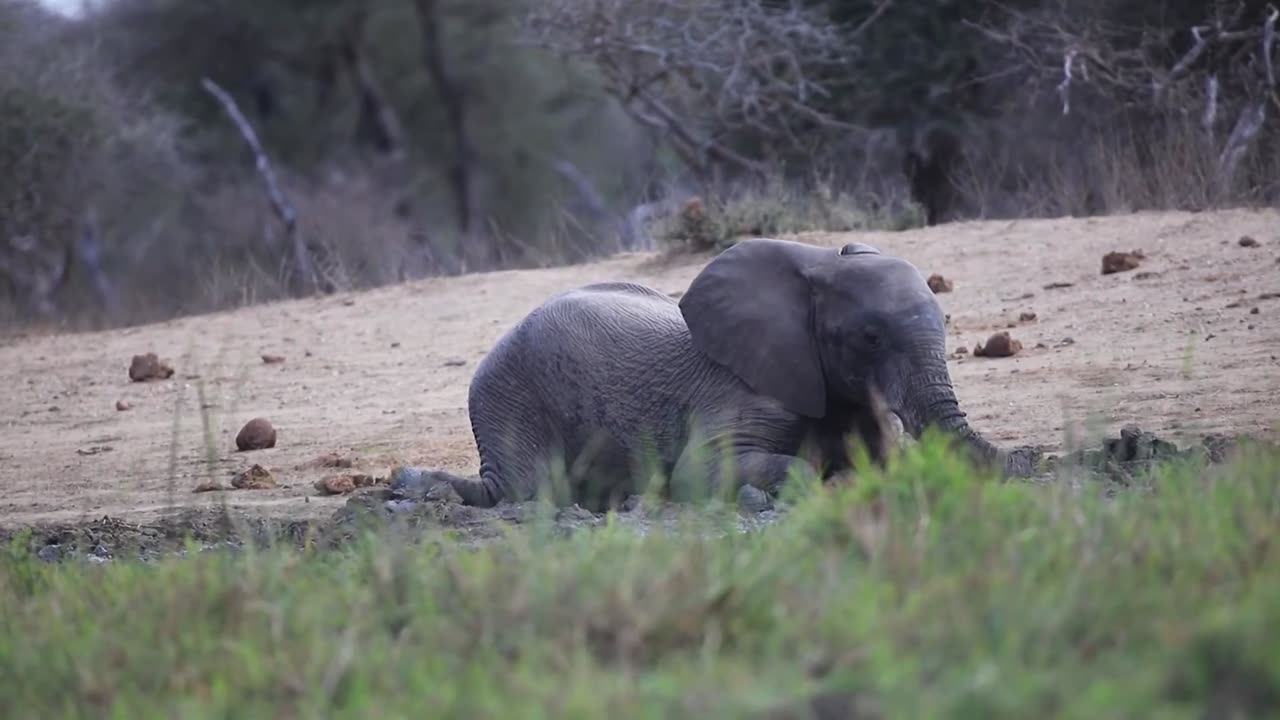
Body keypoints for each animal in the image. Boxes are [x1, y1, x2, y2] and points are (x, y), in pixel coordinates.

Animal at [396, 238, 1039, 507]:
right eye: (870, 338)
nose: (1031, 459)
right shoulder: (745, 391)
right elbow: (698, 474)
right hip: (510, 395)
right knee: (525, 491)